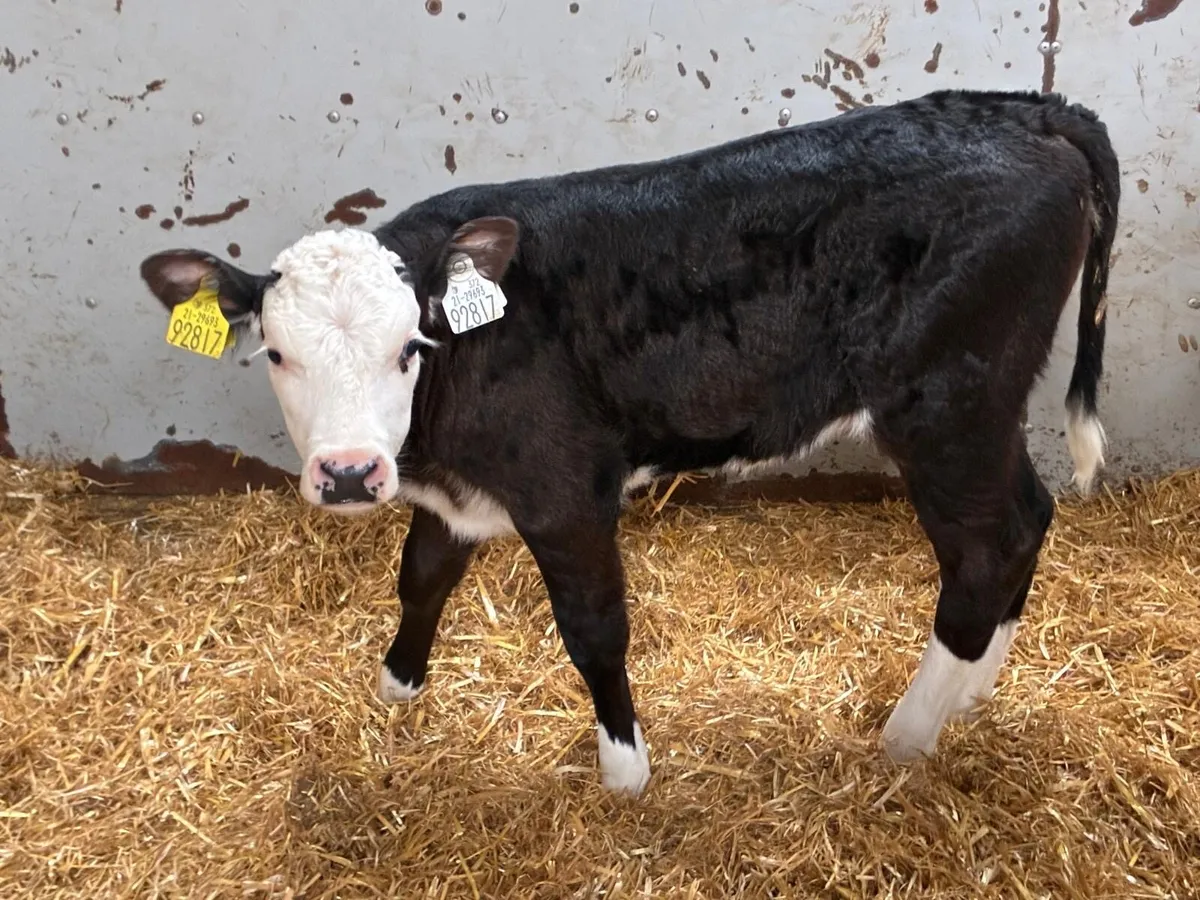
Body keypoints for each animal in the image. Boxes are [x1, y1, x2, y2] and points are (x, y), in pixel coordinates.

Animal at [140, 89, 1118, 796]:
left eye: (409, 346)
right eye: (275, 353)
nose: (348, 473)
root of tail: (1023, 108)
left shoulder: (564, 493)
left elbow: (594, 629)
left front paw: (625, 772)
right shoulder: (459, 494)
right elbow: (421, 580)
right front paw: (395, 695)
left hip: (947, 403)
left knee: (986, 550)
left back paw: (907, 736)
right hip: (983, 405)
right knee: (1029, 518)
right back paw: (973, 691)